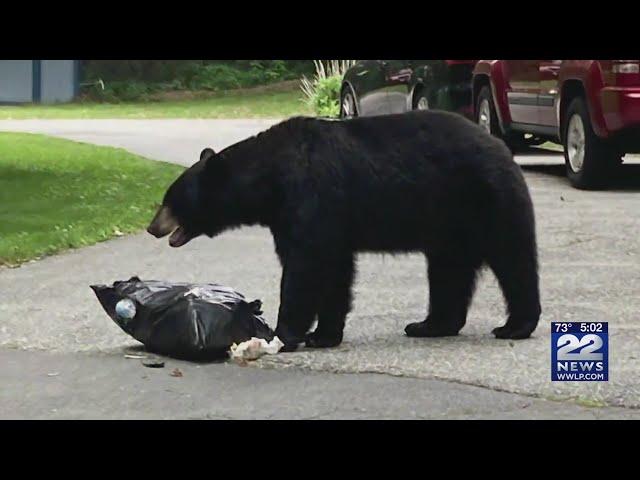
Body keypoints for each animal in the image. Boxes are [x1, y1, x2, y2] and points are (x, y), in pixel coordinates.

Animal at [149, 112, 540, 352]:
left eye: (170, 200)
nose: (152, 227)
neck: (271, 180)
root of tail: (502, 148)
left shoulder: (311, 196)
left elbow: (306, 266)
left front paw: (285, 332)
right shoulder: (298, 216)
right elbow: (333, 270)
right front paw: (324, 335)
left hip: (487, 202)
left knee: (512, 259)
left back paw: (515, 326)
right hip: (449, 224)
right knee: (449, 270)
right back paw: (430, 324)